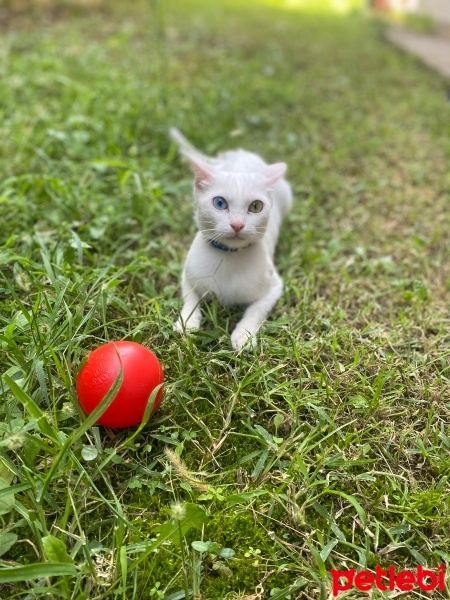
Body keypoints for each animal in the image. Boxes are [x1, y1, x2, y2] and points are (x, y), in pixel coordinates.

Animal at [171, 127, 294, 352]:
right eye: (219, 203)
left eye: (256, 206)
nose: (237, 225)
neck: (228, 256)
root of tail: (239, 153)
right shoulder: (187, 275)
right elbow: (190, 298)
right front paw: (188, 323)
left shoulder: (274, 287)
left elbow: (256, 310)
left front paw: (244, 335)